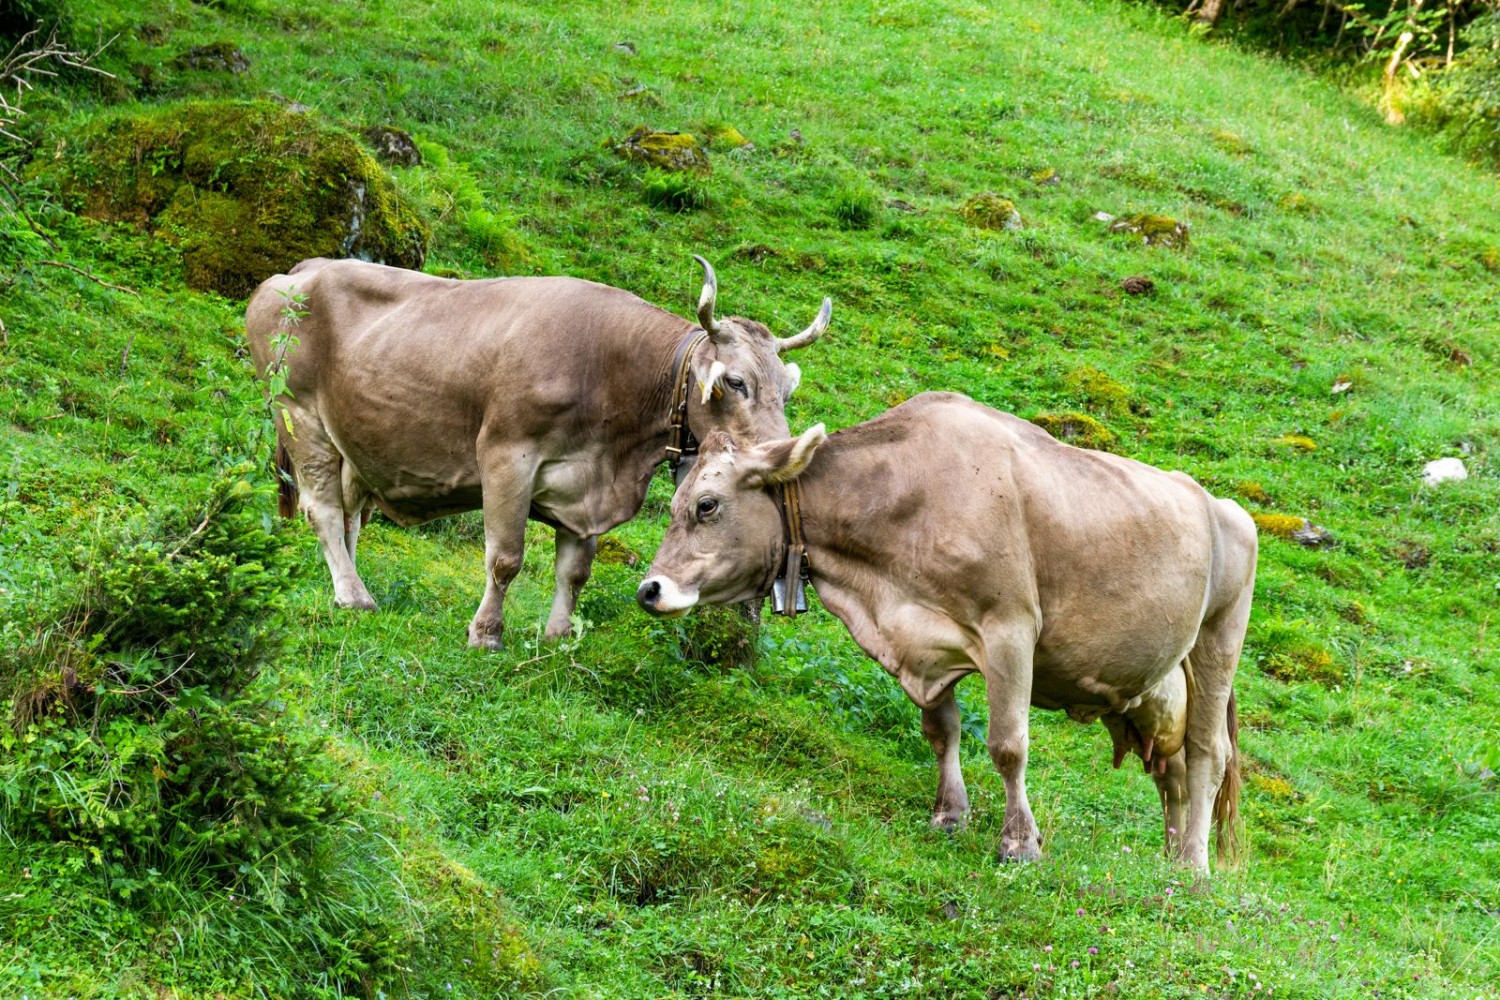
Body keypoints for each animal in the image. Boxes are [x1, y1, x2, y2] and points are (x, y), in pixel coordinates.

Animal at [247, 256, 834, 650]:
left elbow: (574, 571)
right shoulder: (507, 456)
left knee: (351, 515)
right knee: (323, 510)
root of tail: (299, 271)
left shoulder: (588, 490)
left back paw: (349, 583)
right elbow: (505, 558)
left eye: (787, 390)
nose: (784, 454)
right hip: (299, 416)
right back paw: (354, 596)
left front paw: (556, 636)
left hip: (355, 442)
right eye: (735, 382)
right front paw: (486, 633)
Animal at [639, 389, 1260, 869]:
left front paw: (1019, 842)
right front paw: (949, 814)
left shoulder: (1010, 627)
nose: (650, 589)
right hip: (1153, 685)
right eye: (673, 501)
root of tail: (1221, 503)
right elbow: (941, 731)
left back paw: (1194, 869)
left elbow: (1008, 744)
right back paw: (1169, 860)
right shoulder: (925, 644)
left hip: (1218, 640)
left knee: (1207, 755)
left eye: (707, 505)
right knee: (1171, 769)